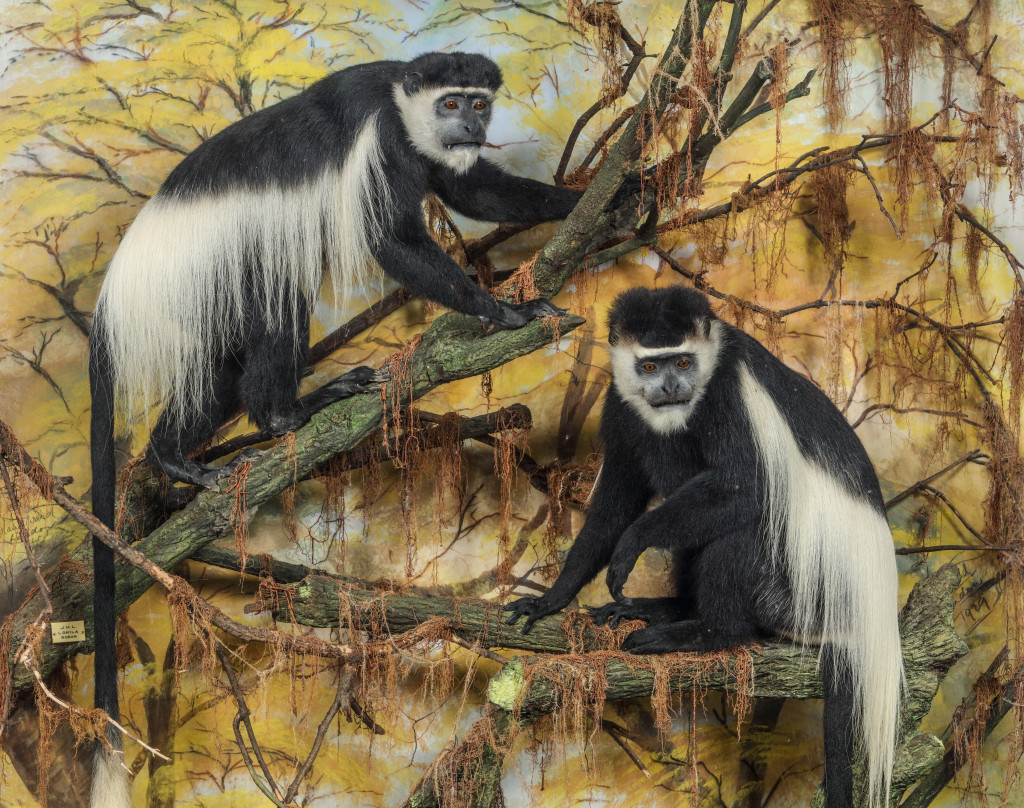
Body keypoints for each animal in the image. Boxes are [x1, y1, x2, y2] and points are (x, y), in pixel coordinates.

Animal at [89, 51, 601, 807]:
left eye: (477, 102)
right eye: (451, 102)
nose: (471, 125)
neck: (402, 100)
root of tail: (117, 295)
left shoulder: (429, 153)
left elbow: (475, 190)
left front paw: (605, 196)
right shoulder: (383, 141)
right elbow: (391, 237)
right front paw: (502, 311)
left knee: (221, 366)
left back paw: (174, 457)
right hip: (211, 273)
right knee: (275, 307)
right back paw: (286, 413)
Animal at [505, 286, 904, 808]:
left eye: (683, 361)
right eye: (650, 366)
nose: (672, 387)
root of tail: (862, 618)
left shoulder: (732, 395)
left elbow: (747, 487)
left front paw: (633, 544)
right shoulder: (623, 403)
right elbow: (614, 501)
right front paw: (552, 598)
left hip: (799, 595)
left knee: (747, 526)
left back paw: (708, 632)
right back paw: (665, 609)